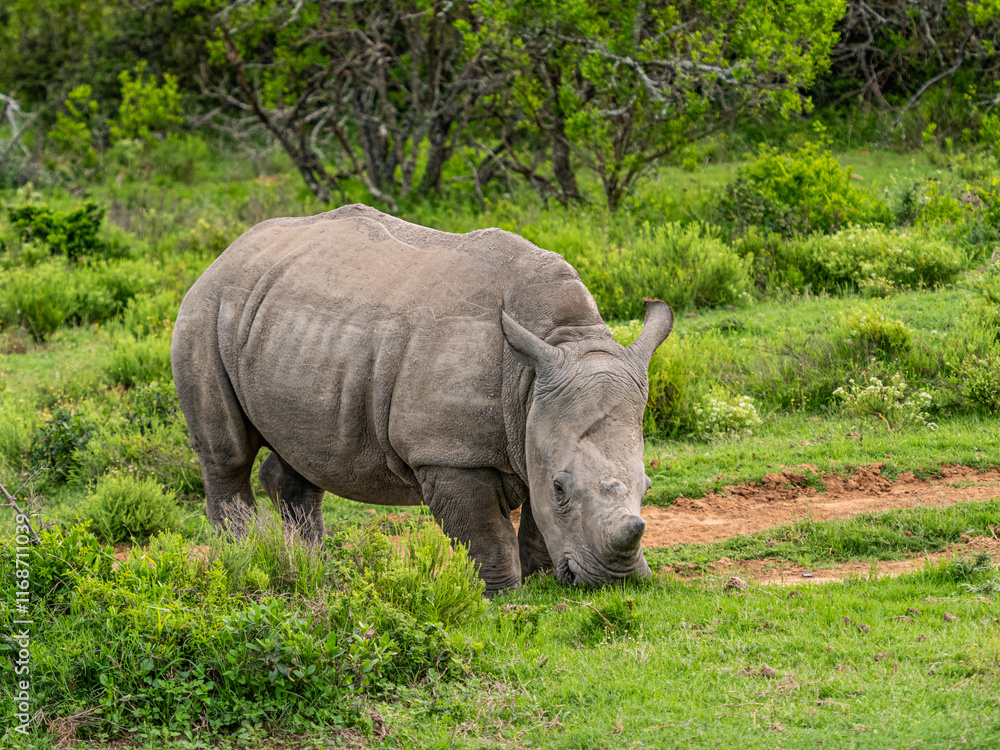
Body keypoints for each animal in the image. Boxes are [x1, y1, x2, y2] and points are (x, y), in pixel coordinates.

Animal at [171, 204, 673, 592]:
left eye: (648, 486)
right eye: (561, 487)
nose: (617, 581)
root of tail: (226, 253)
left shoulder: (536, 423)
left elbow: (534, 522)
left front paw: (540, 579)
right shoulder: (448, 453)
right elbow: (486, 534)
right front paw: (503, 597)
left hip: (288, 324)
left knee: (302, 450)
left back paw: (312, 569)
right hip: (205, 310)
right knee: (227, 455)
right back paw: (245, 560)